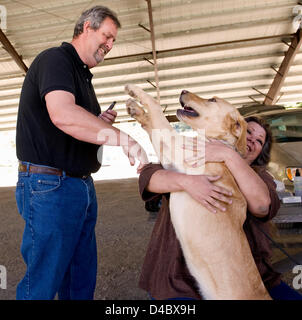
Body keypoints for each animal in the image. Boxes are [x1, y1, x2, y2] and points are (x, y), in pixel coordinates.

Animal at [124, 84, 270, 300]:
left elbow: (157, 111)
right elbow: (151, 123)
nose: (183, 90)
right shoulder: (170, 159)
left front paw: (135, 91)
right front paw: (135, 109)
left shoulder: (175, 145)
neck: (216, 143)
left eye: (212, 99)